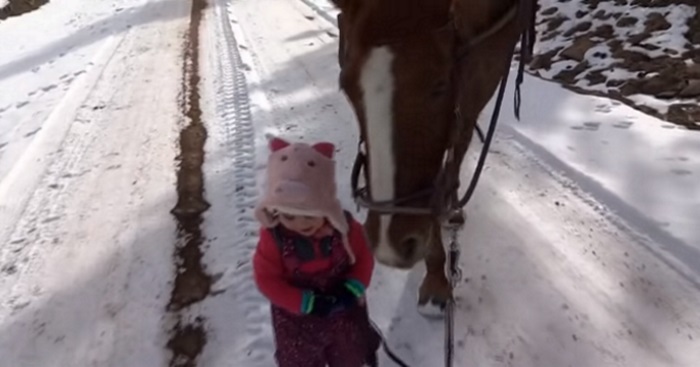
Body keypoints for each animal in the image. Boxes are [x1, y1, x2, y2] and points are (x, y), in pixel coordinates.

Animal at [332, 0, 536, 316]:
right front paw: (436, 275)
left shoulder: (486, 67)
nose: (389, 243)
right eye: (347, 88)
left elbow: (458, 143)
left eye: (439, 85)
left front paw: (448, 206)